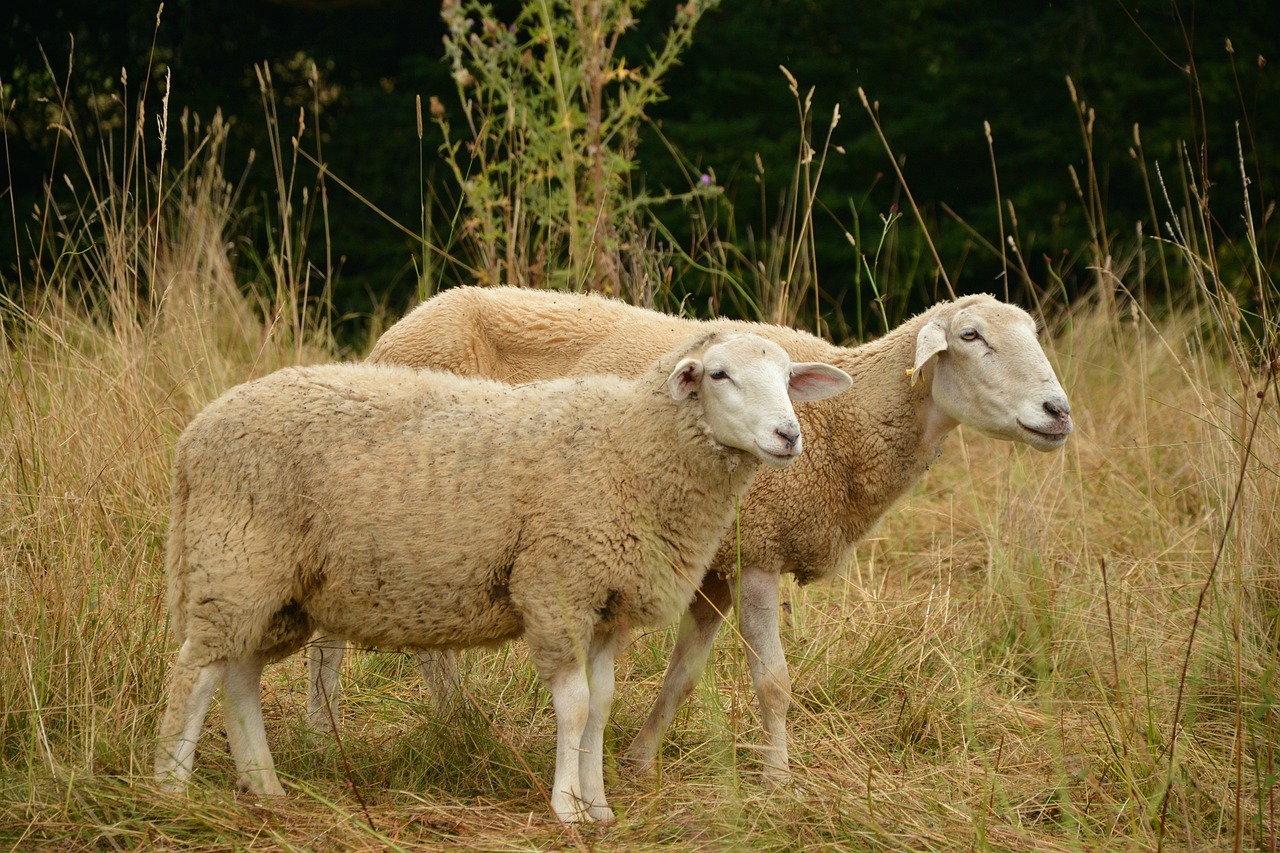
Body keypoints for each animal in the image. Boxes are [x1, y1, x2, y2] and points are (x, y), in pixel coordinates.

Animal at [153, 331, 852, 823]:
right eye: (719, 374)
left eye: (788, 378)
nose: (788, 435)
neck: (632, 448)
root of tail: (194, 436)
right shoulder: (556, 586)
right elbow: (574, 705)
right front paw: (567, 809)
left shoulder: (607, 605)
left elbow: (602, 703)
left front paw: (599, 805)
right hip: (237, 558)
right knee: (194, 673)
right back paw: (170, 791)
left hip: (274, 588)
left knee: (237, 674)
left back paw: (265, 788)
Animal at [311, 285, 1073, 786]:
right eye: (971, 337)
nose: (1058, 411)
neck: (848, 426)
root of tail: (396, 330)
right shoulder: (759, 548)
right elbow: (773, 681)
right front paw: (778, 783)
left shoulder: (714, 563)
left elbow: (683, 673)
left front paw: (637, 759)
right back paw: (332, 736)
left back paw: (459, 727)